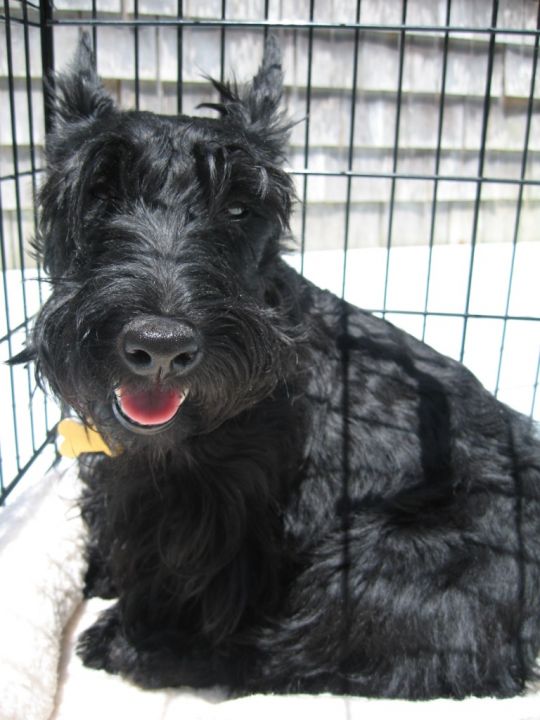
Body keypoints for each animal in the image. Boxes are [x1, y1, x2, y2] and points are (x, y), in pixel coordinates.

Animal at [15, 32, 540, 699]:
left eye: (241, 208)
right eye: (99, 193)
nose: (160, 345)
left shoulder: (217, 514)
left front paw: (139, 634)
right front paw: (104, 572)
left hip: (384, 562)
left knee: (310, 655)